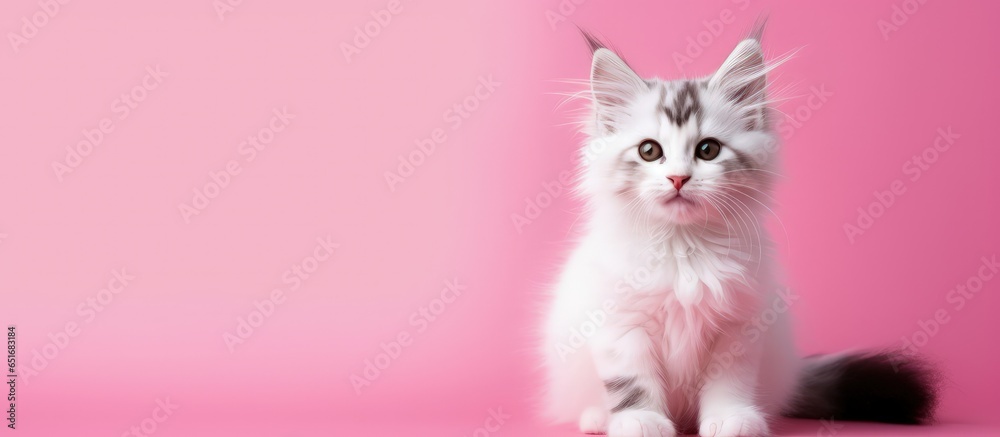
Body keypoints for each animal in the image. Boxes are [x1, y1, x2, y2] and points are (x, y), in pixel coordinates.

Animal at [540, 27, 936, 436]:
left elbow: (728, 382)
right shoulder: (619, 323)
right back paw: (597, 417)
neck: (685, 248)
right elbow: (633, 382)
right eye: (649, 151)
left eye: (708, 150)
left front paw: (731, 418)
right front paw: (641, 420)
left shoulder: (739, 327)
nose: (678, 178)